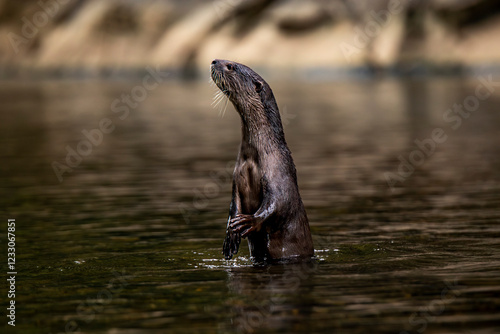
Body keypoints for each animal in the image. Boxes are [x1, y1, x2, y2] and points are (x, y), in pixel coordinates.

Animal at [210, 60, 312, 264]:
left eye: (231, 66)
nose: (214, 61)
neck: (257, 155)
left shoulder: (279, 174)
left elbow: (279, 204)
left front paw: (248, 221)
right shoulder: (237, 177)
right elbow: (234, 203)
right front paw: (230, 236)